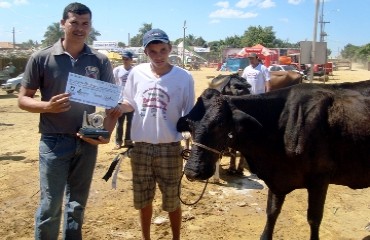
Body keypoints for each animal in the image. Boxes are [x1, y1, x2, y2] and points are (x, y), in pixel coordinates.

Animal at [178, 81, 370, 240]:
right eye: (190, 125)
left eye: (219, 125)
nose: (193, 171)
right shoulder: (277, 179)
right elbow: (272, 212)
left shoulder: (320, 179)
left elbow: (314, 218)